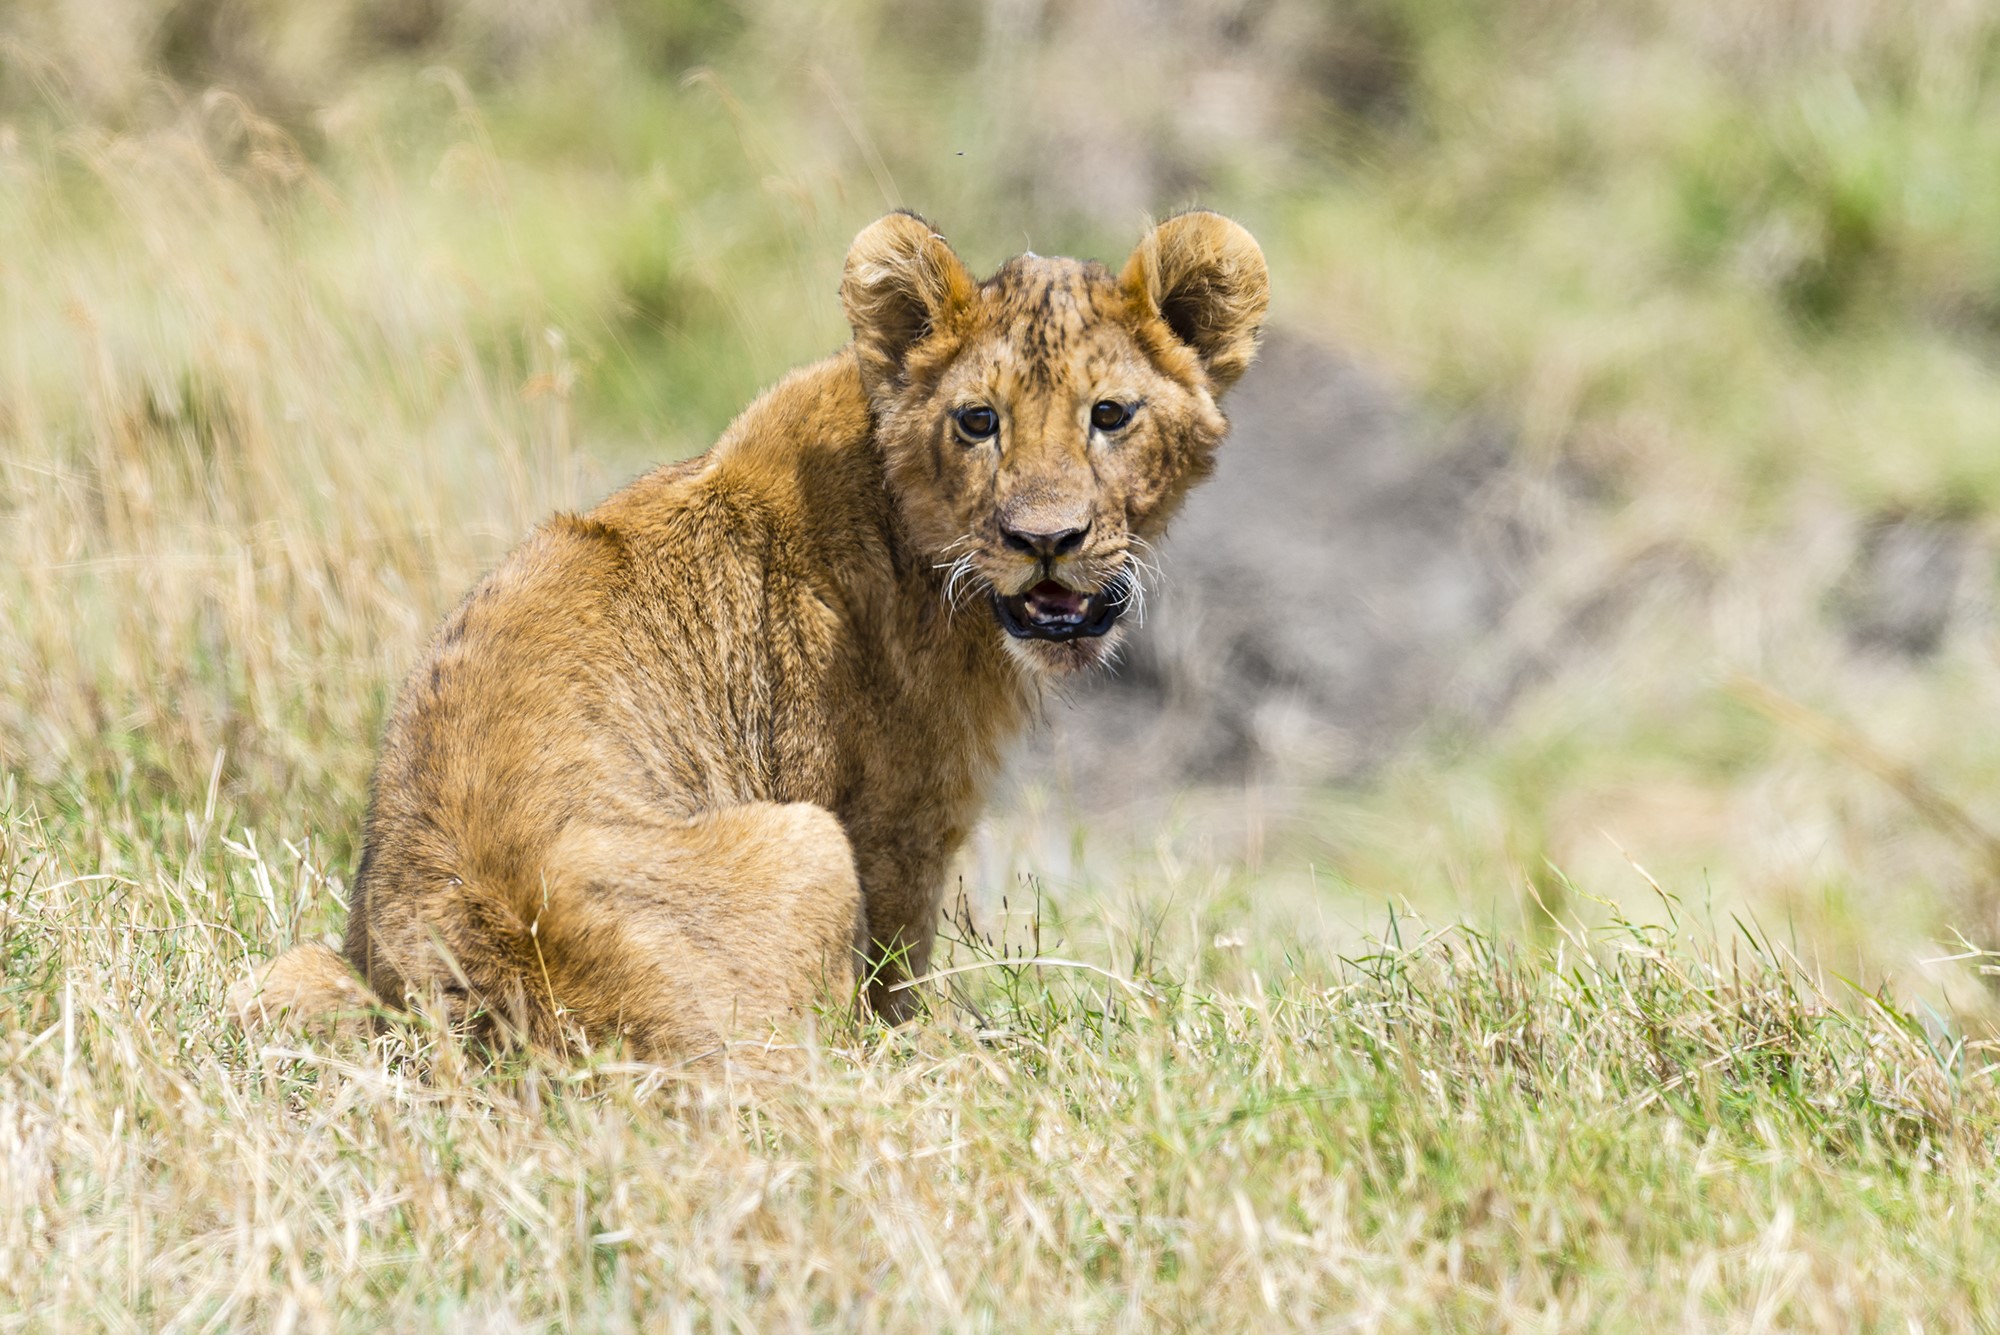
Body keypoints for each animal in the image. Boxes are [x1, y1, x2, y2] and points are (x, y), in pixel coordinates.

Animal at [232, 209, 1268, 1061]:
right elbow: (894, 981)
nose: (1045, 541)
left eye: (1111, 415)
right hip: (804, 844)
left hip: (290, 977)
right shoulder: (894, 826)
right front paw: (930, 1042)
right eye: (980, 421)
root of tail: (524, 1019)